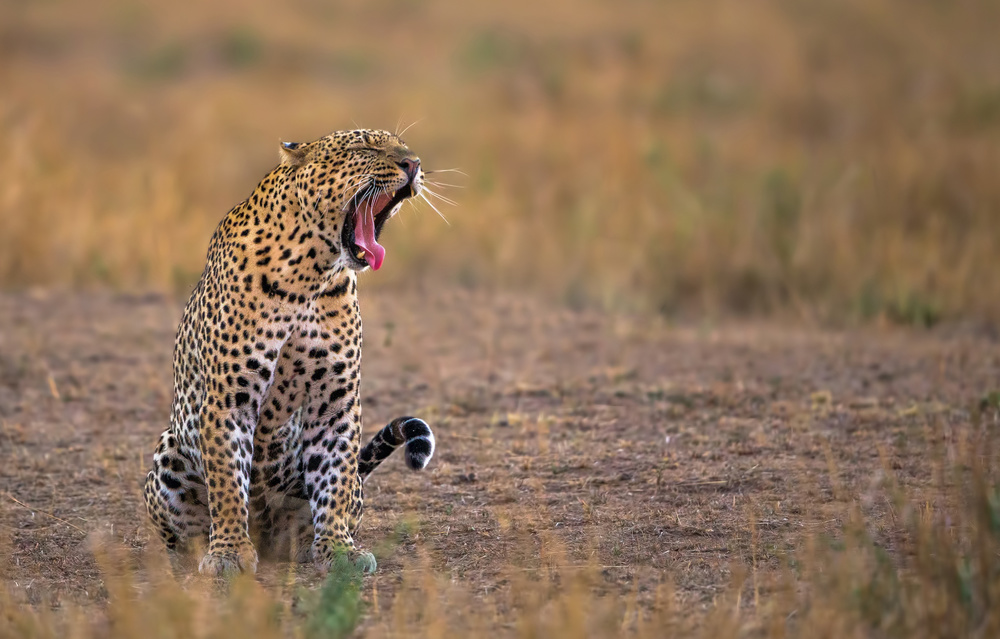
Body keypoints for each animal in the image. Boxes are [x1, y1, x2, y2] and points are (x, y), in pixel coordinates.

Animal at [141, 127, 434, 576]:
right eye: (364, 147)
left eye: (402, 146)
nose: (414, 164)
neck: (312, 275)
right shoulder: (229, 398)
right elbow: (227, 481)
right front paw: (228, 552)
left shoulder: (334, 401)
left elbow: (334, 478)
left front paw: (339, 549)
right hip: (168, 453)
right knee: (184, 535)